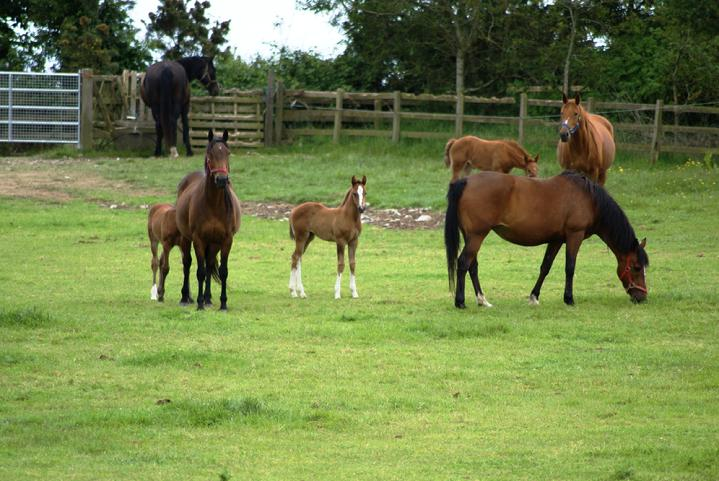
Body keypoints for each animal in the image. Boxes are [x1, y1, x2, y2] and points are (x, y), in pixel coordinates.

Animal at [176, 127, 242, 310]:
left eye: (227, 153)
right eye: (209, 154)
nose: (221, 179)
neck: (213, 205)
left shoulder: (226, 240)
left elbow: (223, 271)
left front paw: (223, 304)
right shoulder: (198, 239)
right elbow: (200, 271)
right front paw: (199, 304)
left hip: (213, 244)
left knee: (210, 263)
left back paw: (208, 298)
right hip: (186, 238)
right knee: (187, 263)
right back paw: (185, 297)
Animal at [448, 171, 648, 308]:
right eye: (637, 267)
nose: (642, 298)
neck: (590, 199)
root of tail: (466, 181)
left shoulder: (556, 240)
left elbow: (545, 267)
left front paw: (534, 297)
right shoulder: (575, 235)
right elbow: (570, 267)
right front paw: (569, 299)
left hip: (471, 236)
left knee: (472, 266)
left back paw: (482, 300)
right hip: (477, 236)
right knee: (463, 263)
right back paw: (460, 302)